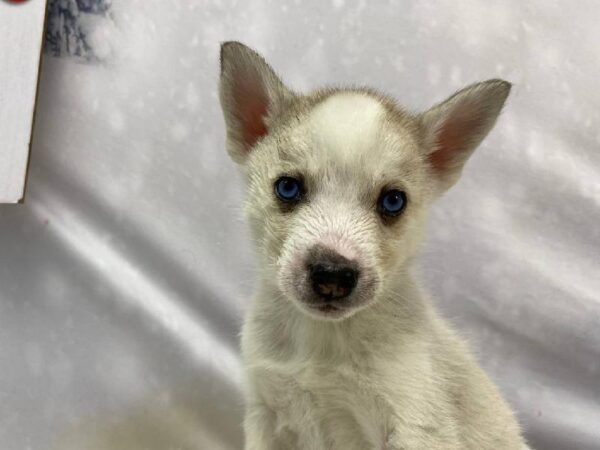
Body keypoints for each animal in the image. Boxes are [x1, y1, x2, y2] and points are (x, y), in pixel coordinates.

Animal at [219, 42, 528, 450]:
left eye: (393, 201)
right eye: (287, 187)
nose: (332, 275)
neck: (323, 339)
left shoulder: (416, 426)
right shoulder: (265, 416)